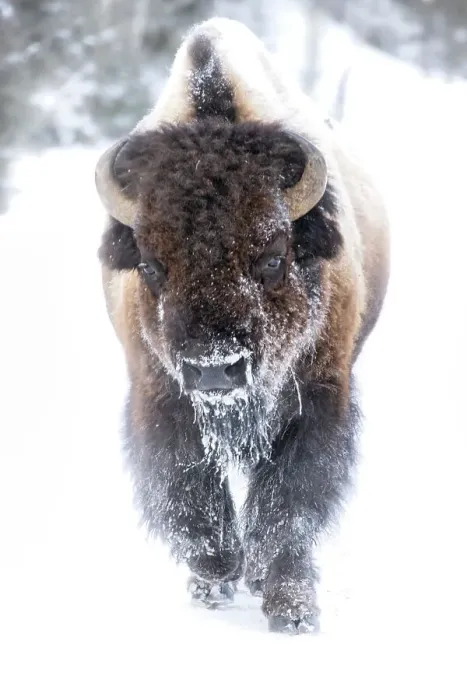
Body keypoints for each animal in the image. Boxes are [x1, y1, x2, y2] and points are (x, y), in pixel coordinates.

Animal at [95, 18, 390, 633]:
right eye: (151, 266)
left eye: (273, 257)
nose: (215, 370)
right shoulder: (160, 397)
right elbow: (189, 492)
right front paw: (216, 573)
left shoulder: (318, 397)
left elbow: (289, 503)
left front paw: (292, 608)